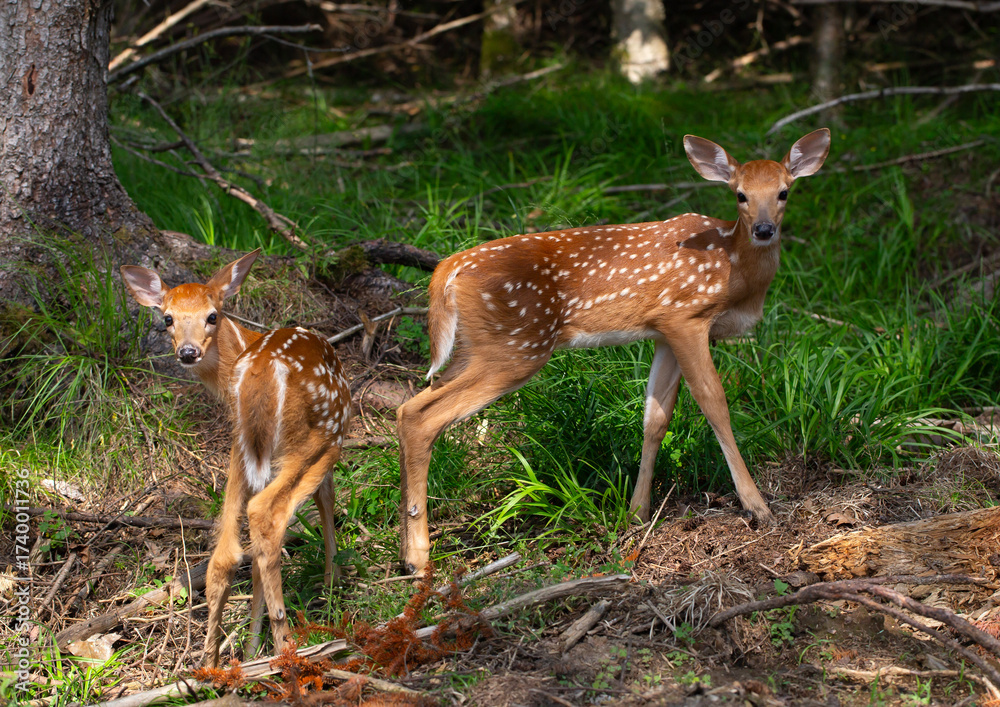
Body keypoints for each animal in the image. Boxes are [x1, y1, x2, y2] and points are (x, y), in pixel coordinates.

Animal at [120, 250, 352, 667]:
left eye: (212, 315)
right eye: (168, 318)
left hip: (242, 447)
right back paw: (288, 650)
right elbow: (327, 500)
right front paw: (332, 588)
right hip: (315, 438)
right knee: (267, 515)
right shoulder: (330, 442)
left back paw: (211, 666)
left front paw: (249, 647)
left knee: (226, 553)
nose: (188, 352)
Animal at [396, 128, 831, 575]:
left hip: (474, 347)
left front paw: (638, 512)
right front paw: (757, 506)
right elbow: (715, 403)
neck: (733, 269)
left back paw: (409, 549)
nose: (763, 229)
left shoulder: (663, 329)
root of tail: (445, 271)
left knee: (410, 405)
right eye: (740, 194)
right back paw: (418, 557)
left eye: (784, 191)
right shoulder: (686, 316)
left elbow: (655, 417)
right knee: (420, 416)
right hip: (515, 346)